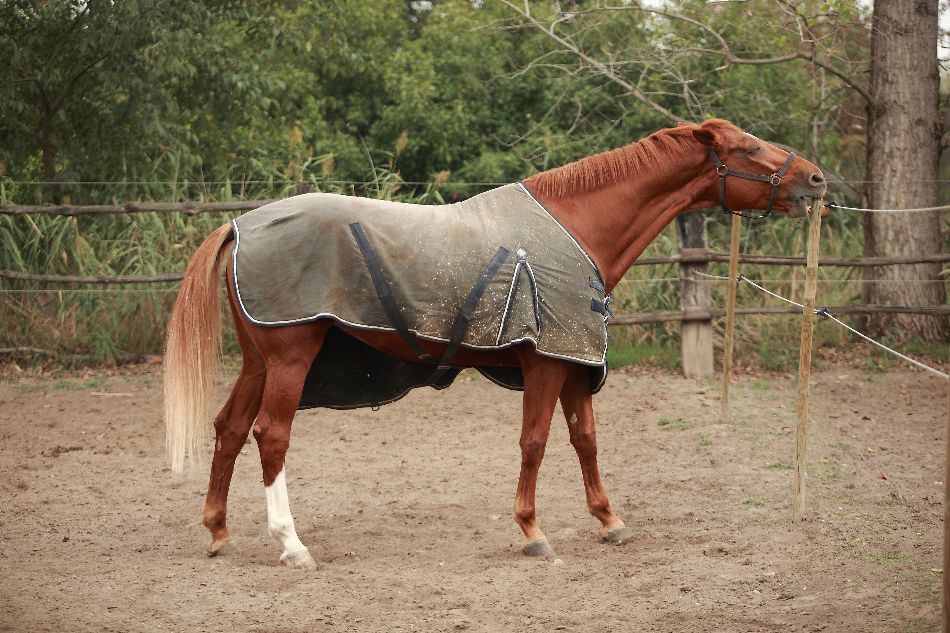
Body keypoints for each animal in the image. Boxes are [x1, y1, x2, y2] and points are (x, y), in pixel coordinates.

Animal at [164, 119, 826, 568]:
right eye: (748, 147)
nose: (815, 179)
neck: (578, 229)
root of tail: (239, 225)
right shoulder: (546, 364)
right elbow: (535, 443)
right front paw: (533, 532)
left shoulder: (574, 361)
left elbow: (585, 441)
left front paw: (609, 520)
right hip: (290, 359)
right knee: (270, 436)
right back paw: (291, 544)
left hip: (258, 362)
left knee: (228, 429)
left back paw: (218, 531)